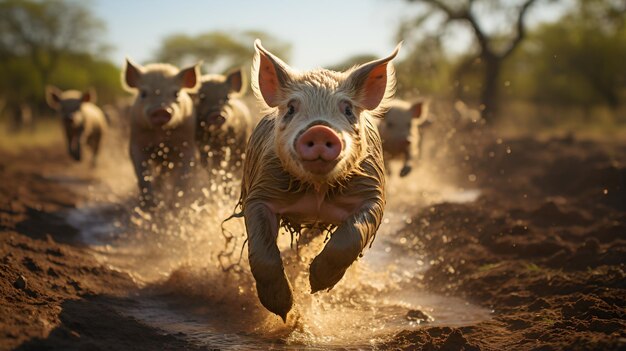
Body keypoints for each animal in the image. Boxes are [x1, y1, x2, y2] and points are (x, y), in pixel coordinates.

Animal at [122, 57, 200, 209]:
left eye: (176, 93)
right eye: (143, 93)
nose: (161, 110)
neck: (161, 138)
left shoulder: (188, 144)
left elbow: (183, 176)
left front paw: (174, 206)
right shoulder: (135, 144)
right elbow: (142, 175)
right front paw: (150, 206)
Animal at [230, 39, 400, 322]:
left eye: (348, 109)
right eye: (291, 108)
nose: (320, 129)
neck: (318, 191)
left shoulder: (373, 192)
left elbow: (351, 235)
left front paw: (316, 284)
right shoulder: (260, 192)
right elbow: (263, 252)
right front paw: (283, 310)